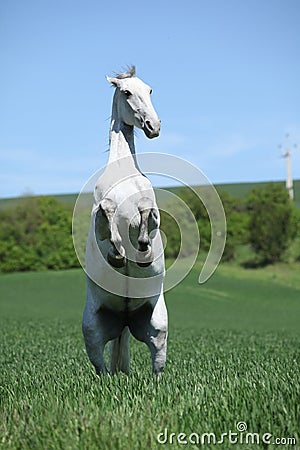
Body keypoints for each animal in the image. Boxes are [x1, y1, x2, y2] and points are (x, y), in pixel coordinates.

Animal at [82, 65, 168, 378]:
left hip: (157, 326)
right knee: (101, 368)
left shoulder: (153, 214)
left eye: (150, 90)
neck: (123, 173)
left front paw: (143, 249)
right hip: (92, 329)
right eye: (128, 92)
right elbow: (107, 216)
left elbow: (146, 214)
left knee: (157, 365)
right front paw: (118, 254)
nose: (154, 126)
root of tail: (125, 320)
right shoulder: (99, 215)